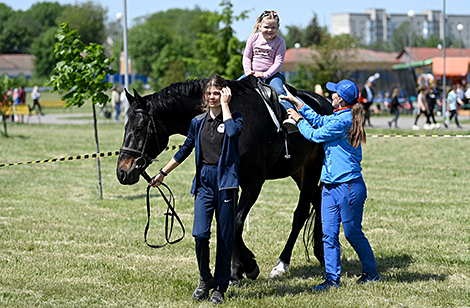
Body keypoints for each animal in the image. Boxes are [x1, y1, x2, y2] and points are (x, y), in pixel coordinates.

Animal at [117, 74, 334, 284]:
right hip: (299, 171)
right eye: (125, 126)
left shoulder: (254, 182)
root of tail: (327, 105)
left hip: (312, 169)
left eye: (139, 128)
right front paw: (236, 272)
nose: (122, 172)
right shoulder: (229, 181)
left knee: (301, 213)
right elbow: (228, 222)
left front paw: (249, 266)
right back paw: (321, 253)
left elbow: (236, 221)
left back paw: (282, 264)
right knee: (318, 201)